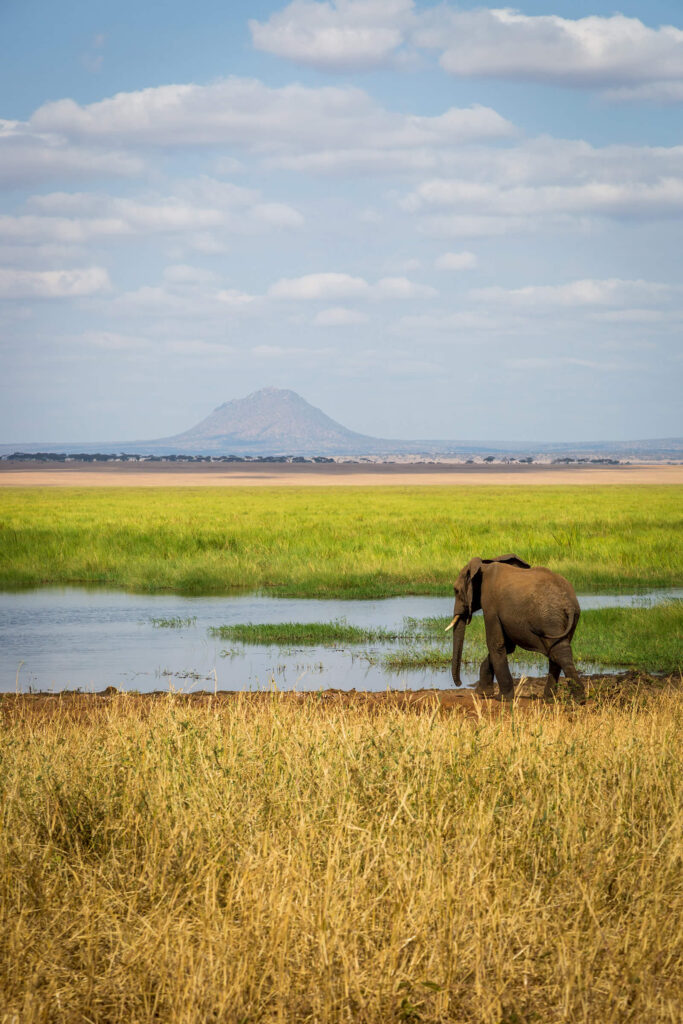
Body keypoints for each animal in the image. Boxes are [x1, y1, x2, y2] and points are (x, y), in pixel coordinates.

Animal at [446, 552, 585, 704]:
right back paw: (550, 699)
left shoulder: (490, 605)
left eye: (456, 591)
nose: (459, 683)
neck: (484, 566)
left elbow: (496, 644)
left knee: (558, 652)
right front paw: (482, 694)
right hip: (568, 618)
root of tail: (568, 604)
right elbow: (508, 646)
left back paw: (577, 699)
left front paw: (502, 698)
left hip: (549, 618)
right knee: (557, 650)